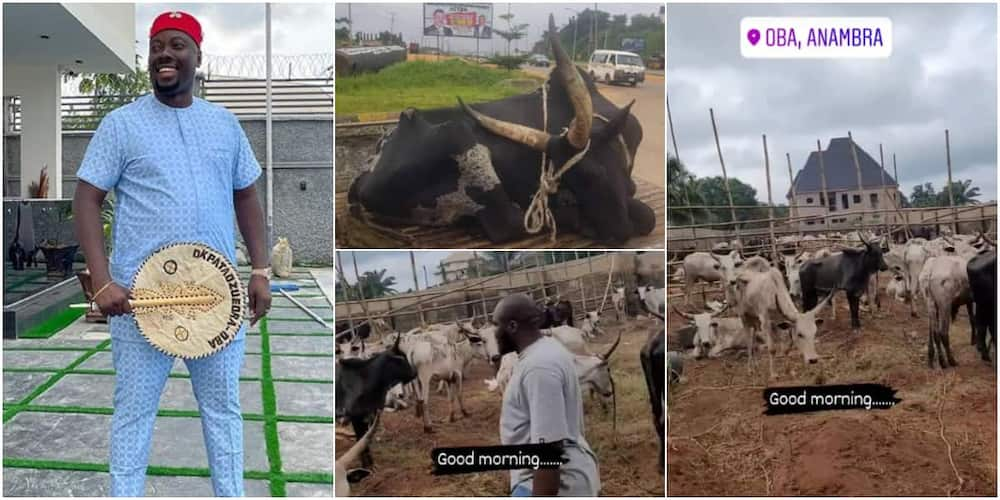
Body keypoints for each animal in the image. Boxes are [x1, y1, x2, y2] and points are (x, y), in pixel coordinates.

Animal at [334, 336, 416, 468]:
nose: (414, 373)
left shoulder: (370, 414)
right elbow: (360, 438)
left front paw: (370, 464)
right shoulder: (356, 417)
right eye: (401, 358)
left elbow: (365, 439)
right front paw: (366, 465)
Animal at [346, 14, 656, 244]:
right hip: (457, 136)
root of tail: (364, 175)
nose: (618, 231)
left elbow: (646, 213)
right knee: (505, 223)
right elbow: (647, 215)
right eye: (586, 175)